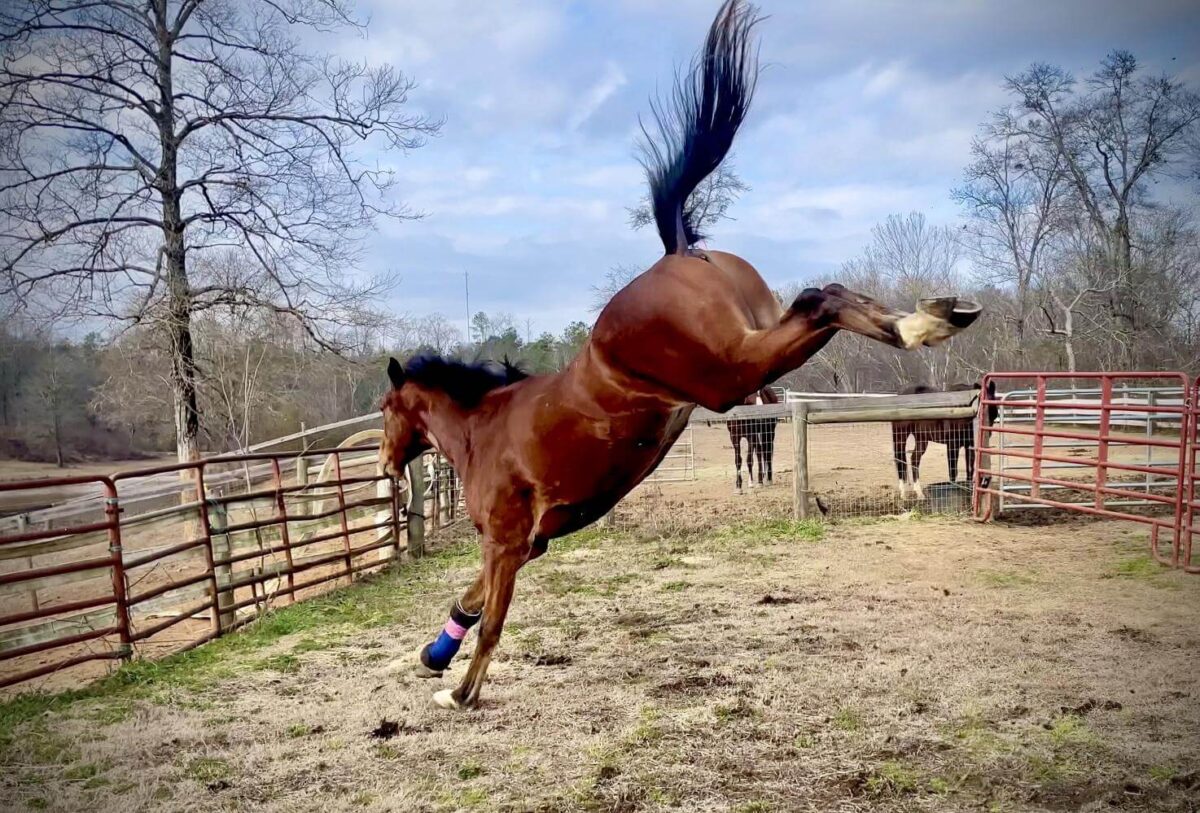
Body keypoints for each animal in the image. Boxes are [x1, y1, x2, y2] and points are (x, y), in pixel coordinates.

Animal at [379, 0, 981, 710]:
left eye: (385, 409)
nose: (385, 465)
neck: (482, 428)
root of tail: (675, 252)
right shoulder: (528, 545)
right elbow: (470, 603)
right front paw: (434, 657)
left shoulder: (506, 543)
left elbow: (493, 619)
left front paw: (462, 691)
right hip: (747, 354)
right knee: (828, 295)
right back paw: (937, 317)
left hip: (729, 374)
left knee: (821, 299)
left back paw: (923, 326)